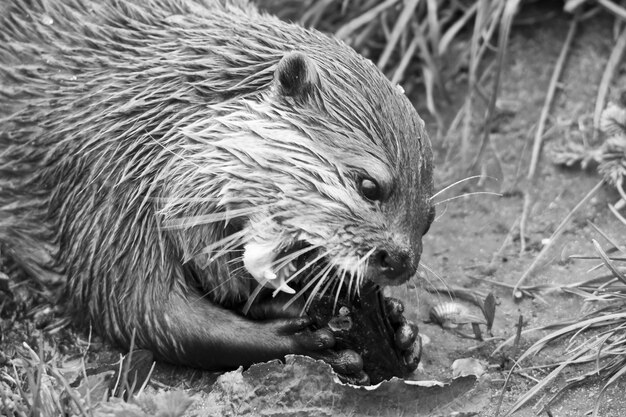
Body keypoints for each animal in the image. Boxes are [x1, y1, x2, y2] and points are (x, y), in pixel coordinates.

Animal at [1, 0, 434, 374]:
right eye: (369, 185)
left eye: (428, 218)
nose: (399, 260)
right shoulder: (106, 186)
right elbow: (148, 313)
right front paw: (301, 338)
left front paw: (400, 329)